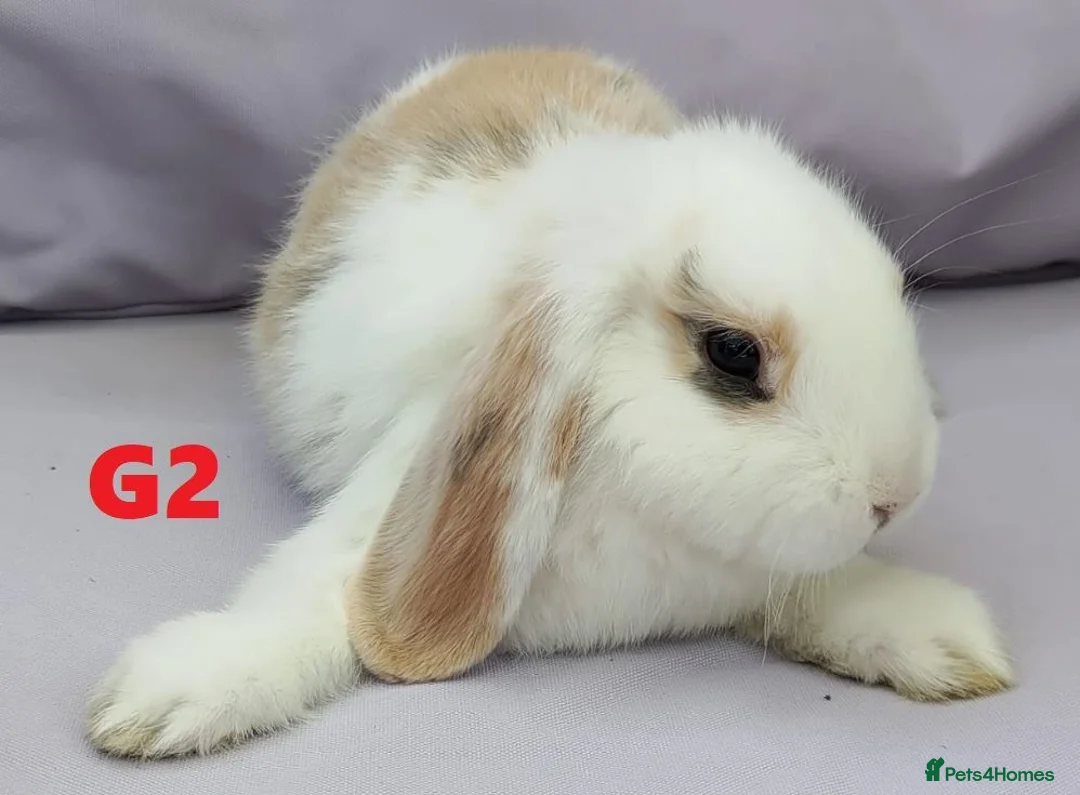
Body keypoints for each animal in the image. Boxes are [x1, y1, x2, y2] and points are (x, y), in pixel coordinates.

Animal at [85, 47, 1013, 759]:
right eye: (733, 352)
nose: (895, 496)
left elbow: (824, 589)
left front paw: (940, 634)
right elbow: (313, 605)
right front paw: (168, 693)